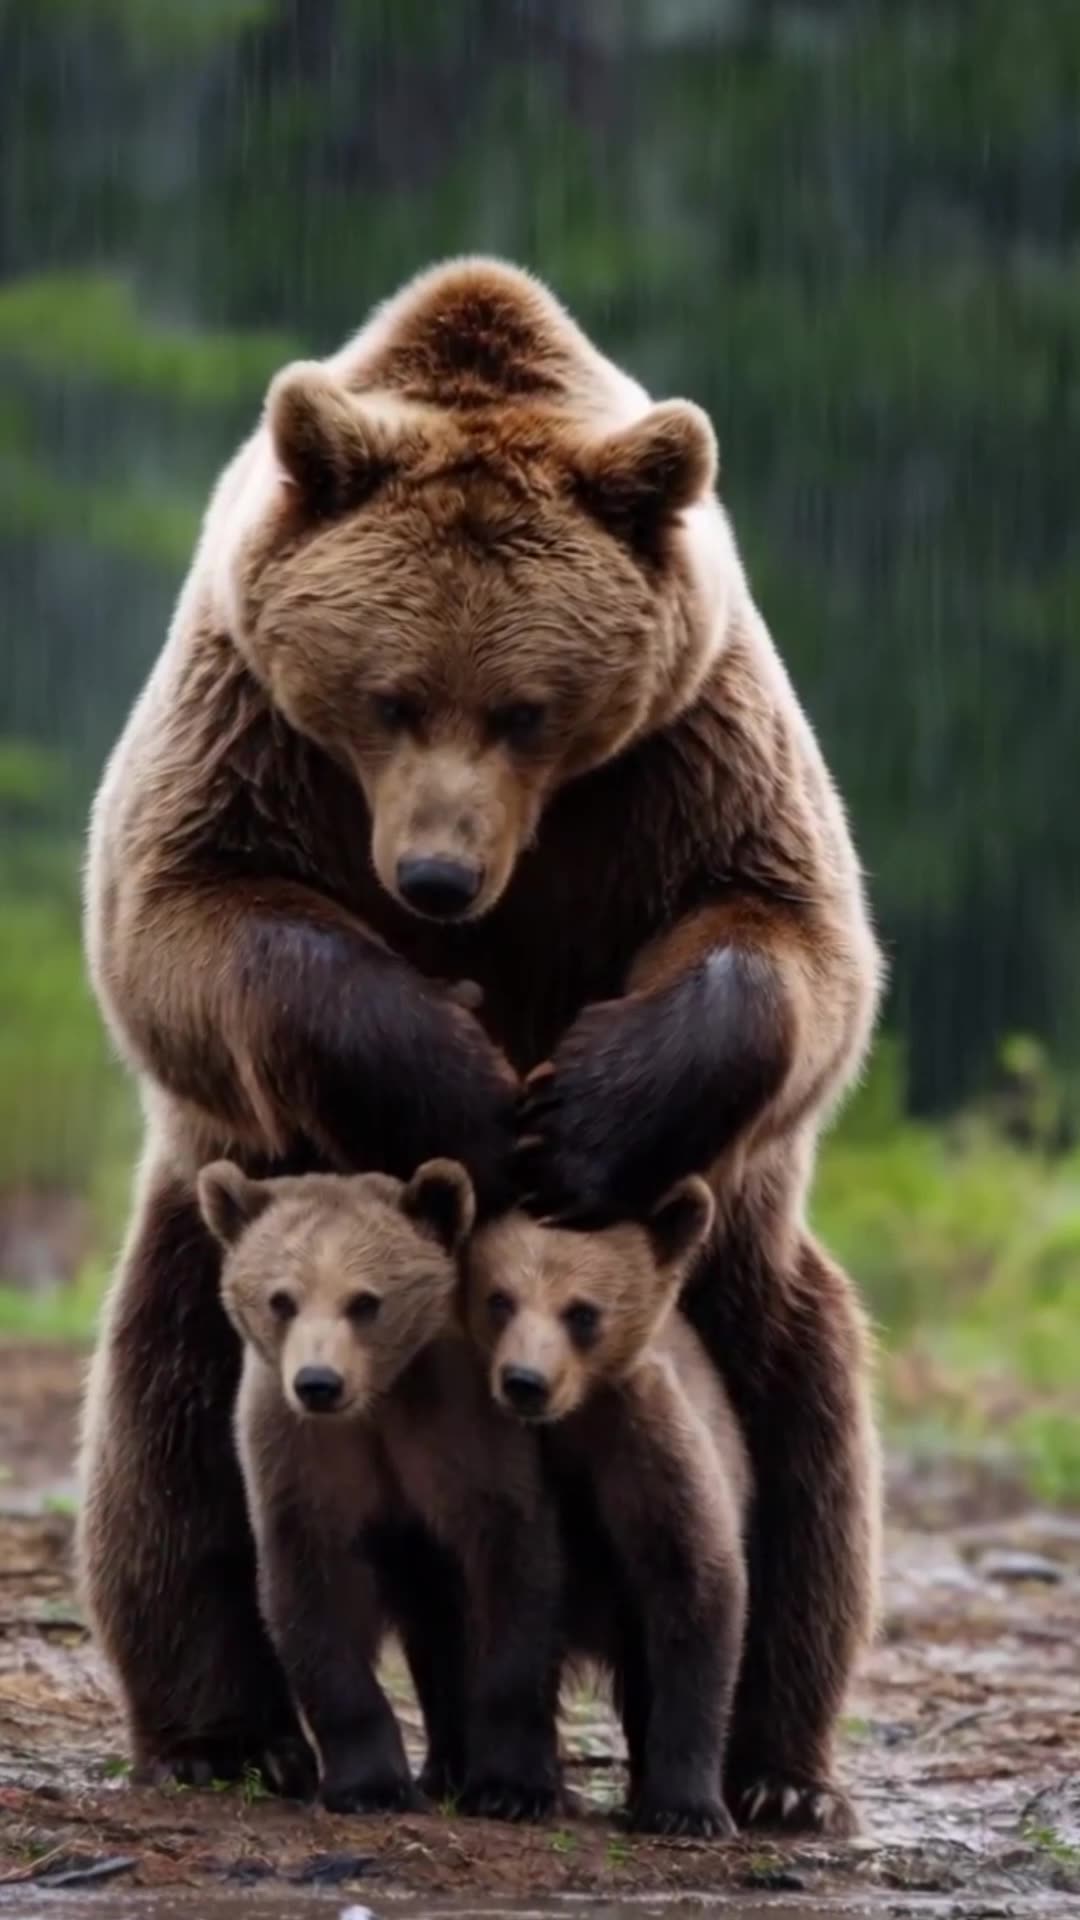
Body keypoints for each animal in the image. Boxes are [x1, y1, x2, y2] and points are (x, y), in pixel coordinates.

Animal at [197, 1154, 562, 1820]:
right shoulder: (299, 1457)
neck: (379, 1401)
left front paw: (512, 1786)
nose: (319, 1382)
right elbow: (314, 1604)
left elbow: (516, 1583)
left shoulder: (468, 1437)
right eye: (282, 1300)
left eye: (365, 1301)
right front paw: (370, 1783)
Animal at [467, 1176, 749, 1838]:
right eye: (499, 1298)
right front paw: (513, 1789)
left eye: (582, 1312)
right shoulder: (515, 1471)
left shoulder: (650, 1452)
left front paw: (687, 1807)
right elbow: (519, 1603)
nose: (525, 1381)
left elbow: (696, 1594)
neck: (573, 1428)